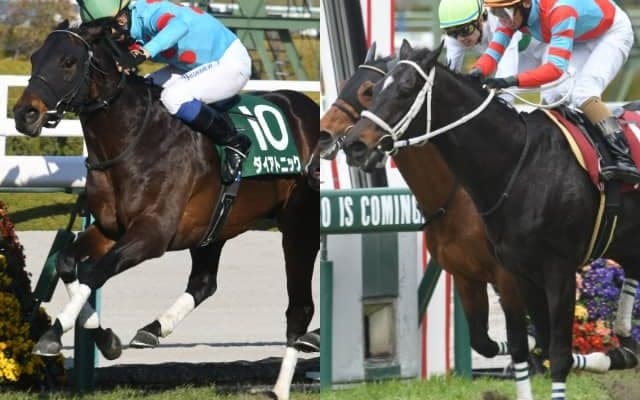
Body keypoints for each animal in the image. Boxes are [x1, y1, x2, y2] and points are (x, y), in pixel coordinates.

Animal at [13, 23, 319, 400]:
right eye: (34, 57)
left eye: (68, 61)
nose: (24, 114)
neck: (135, 139)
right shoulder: (110, 230)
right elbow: (69, 263)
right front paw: (105, 339)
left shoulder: (151, 234)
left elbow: (97, 272)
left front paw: (55, 335)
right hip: (214, 227)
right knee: (203, 283)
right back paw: (154, 328)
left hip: (300, 224)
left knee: (300, 307)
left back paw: (280, 385)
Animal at [342, 39, 640, 400]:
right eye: (374, 91)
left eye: (404, 88)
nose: (352, 144)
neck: (518, 164)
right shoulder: (504, 273)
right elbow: (516, 344)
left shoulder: (555, 271)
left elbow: (555, 353)